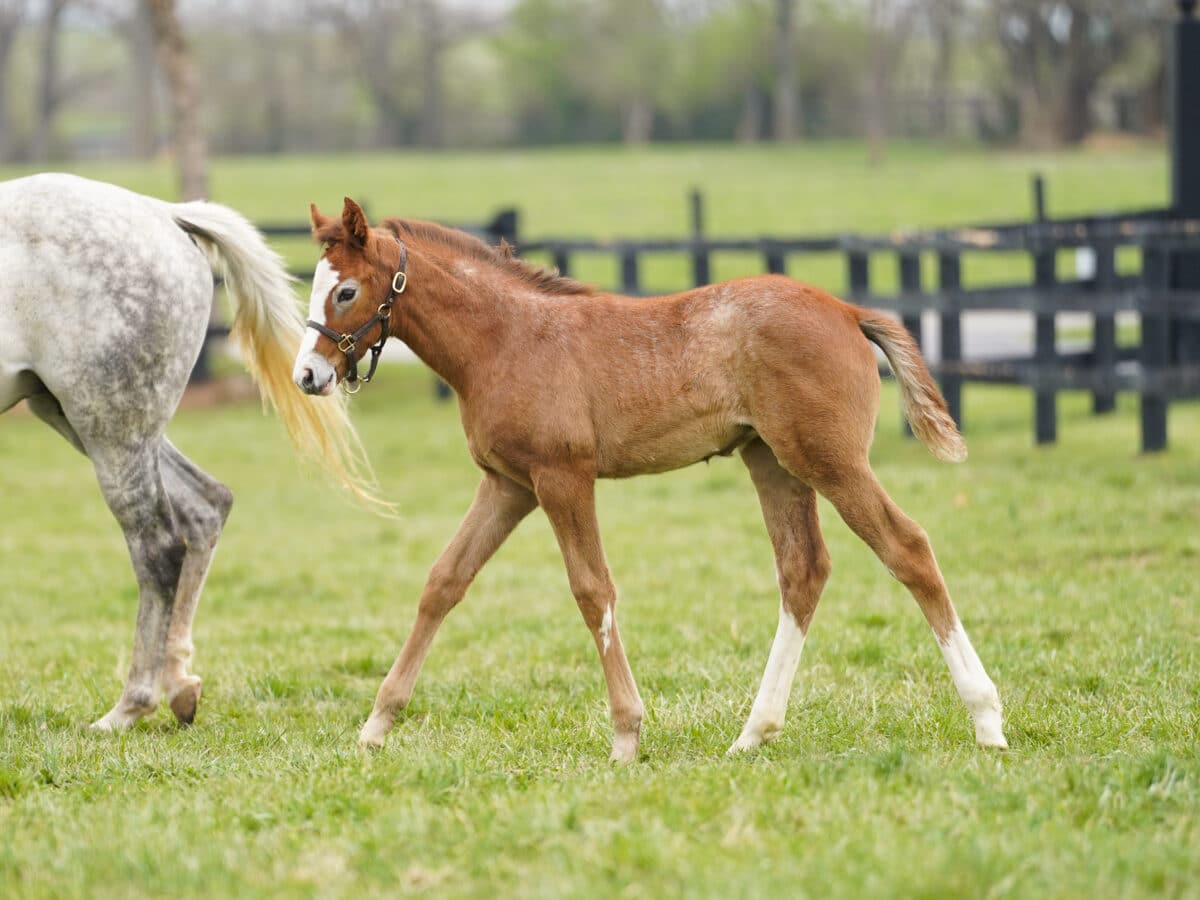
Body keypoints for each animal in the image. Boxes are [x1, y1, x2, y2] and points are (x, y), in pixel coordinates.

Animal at [0, 176, 372, 734]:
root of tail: (165, 214)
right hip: (94, 421)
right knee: (205, 506)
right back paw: (178, 685)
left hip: (111, 428)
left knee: (157, 548)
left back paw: (130, 705)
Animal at [297, 199, 1003, 763]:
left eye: (346, 292)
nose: (307, 375)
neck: (505, 339)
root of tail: (848, 309)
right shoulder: (508, 485)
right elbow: (443, 582)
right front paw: (376, 725)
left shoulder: (562, 477)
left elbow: (592, 591)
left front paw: (626, 736)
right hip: (772, 462)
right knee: (804, 570)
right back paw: (753, 733)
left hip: (829, 461)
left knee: (907, 547)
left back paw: (987, 719)